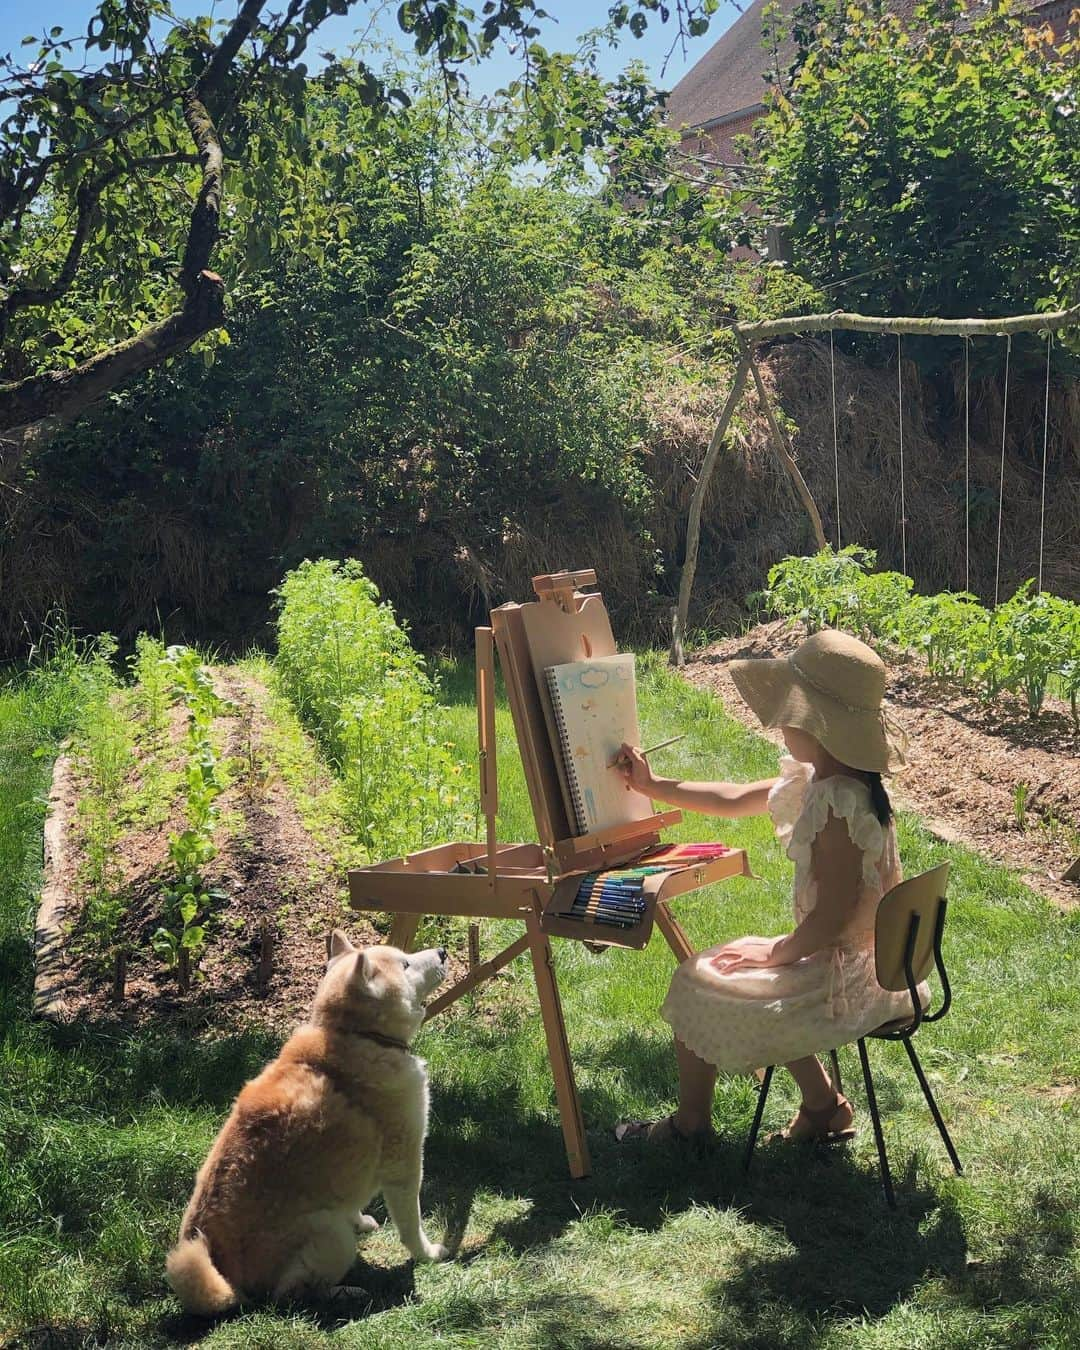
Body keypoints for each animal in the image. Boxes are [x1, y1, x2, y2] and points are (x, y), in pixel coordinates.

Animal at [163, 934, 448, 1312]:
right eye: (405, 964)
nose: (443, 952)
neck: (356, 1035)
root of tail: (228, 1280)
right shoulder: (405, 1165)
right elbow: (411, 1226)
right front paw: (428, 1253)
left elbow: (351, 1202)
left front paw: (361, 1220)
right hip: (331, 1236)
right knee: (290, 1296)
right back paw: (346, 1293)